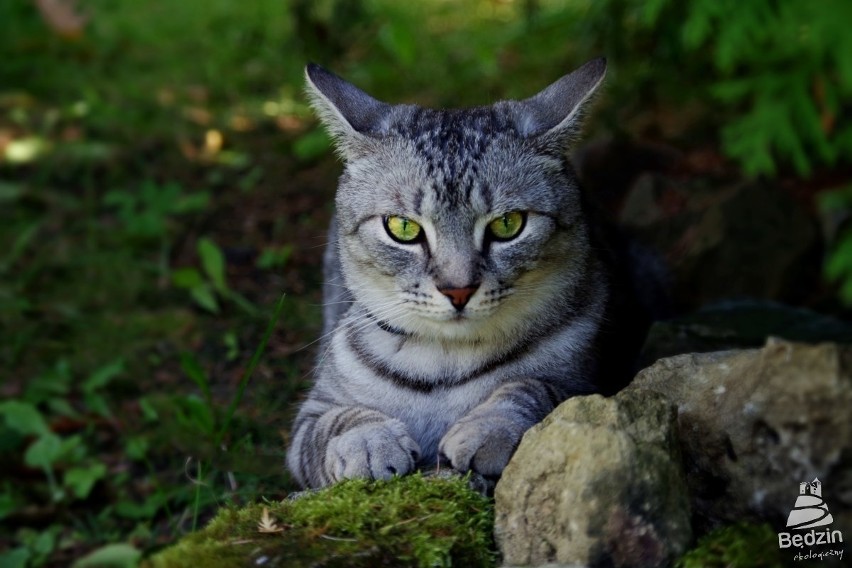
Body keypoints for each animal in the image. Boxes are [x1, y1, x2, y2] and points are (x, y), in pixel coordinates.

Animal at [286, 58, 652, 488]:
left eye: (509, 224)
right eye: (403, 228)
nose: (458, 290)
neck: (443, 365)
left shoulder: (590, 382)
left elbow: (531, 387)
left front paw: (487, 427)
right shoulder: (309, 419)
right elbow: (337, 421)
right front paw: (369, 442)